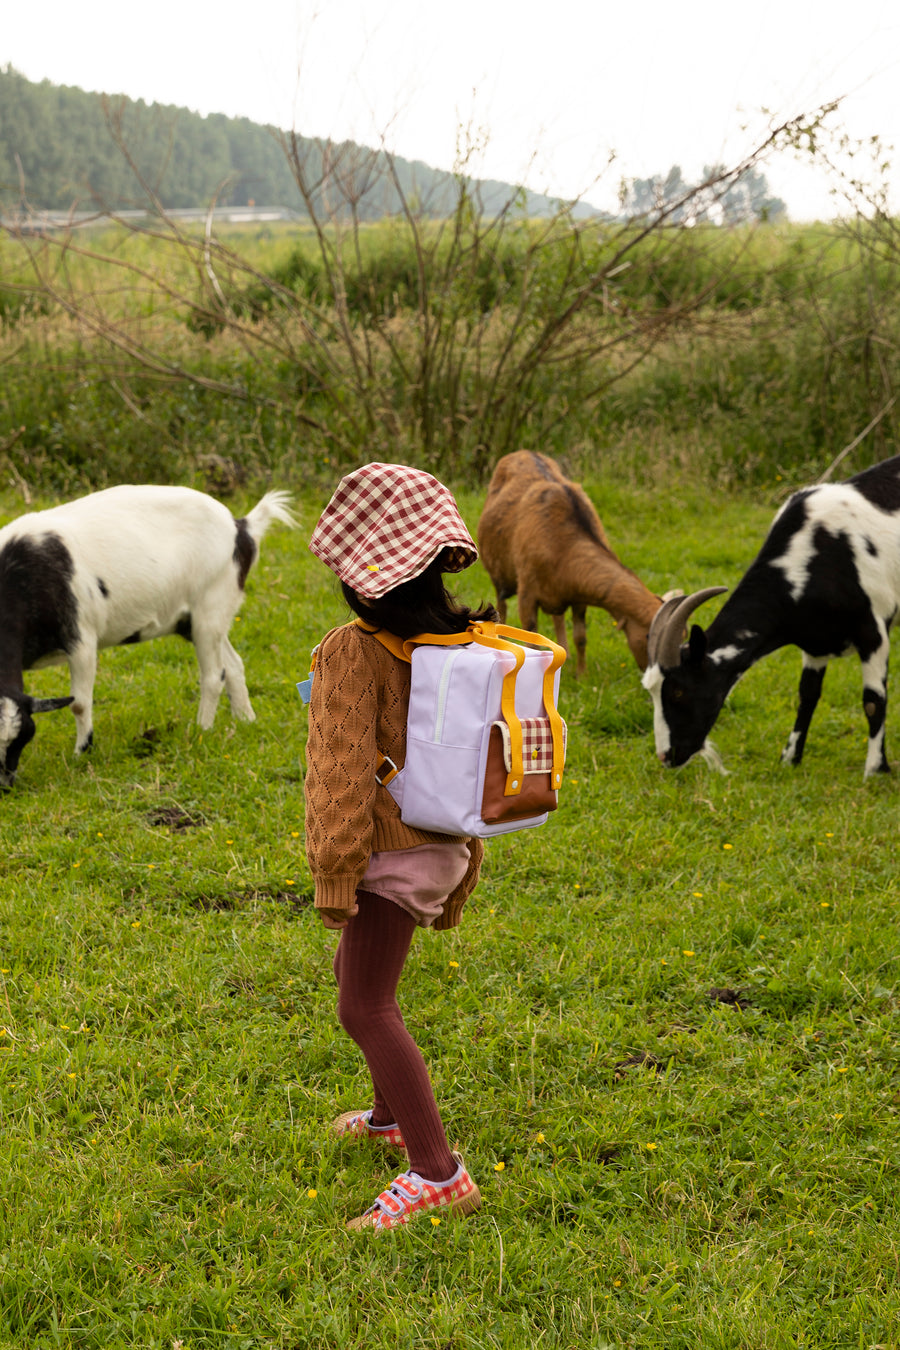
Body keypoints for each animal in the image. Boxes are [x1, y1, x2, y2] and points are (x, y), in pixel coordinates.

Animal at [0, 483, 296, 788]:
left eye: (22, 736)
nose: (5, 785)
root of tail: (241, 527)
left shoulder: (81, 640)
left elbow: (80, 704)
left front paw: (82, 753)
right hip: (194, 621)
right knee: (234, 664)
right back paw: (245, 720)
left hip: (210, 607)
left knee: (214, 675)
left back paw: (202, 729)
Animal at [483, 453, 671, 675]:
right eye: (649, 637)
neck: (561, 543)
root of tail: (523, 452)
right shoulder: (527, 593)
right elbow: (531, 638)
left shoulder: (578, 595)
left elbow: (580, 637)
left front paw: (581, 674)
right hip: (498, 575)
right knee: (501, 606)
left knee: (557, 618)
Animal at [644, 456, 900, 783]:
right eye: (652, 691)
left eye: (678, 689)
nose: (666, 756)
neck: (820, 552)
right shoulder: (814, 641)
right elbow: (807, 696)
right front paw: (790, 758)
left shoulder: (873, 631)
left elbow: (872, 701)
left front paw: (876, 770)